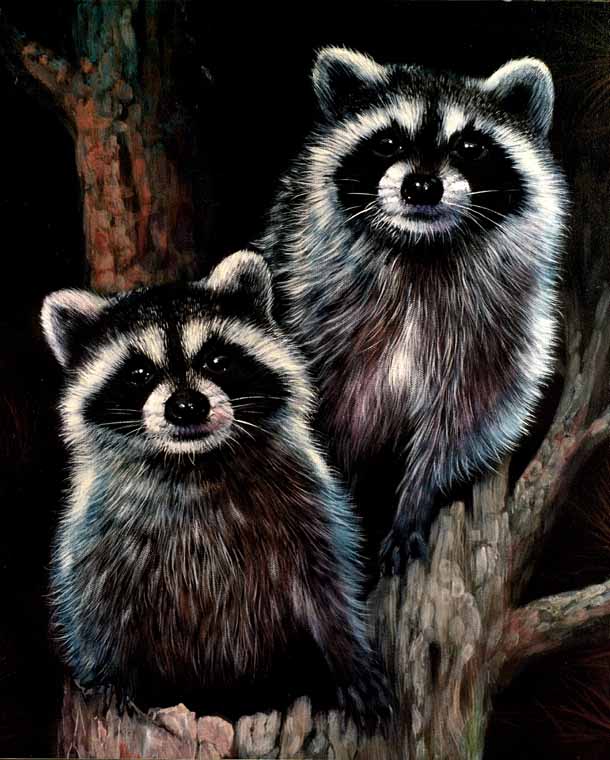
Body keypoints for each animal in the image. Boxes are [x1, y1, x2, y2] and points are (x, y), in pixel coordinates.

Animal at [41, 251, 387, 720]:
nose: (186, 406)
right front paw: (110, 680)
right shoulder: (98, 538)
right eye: (139, 372)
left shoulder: (307, 506)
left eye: (216, 361)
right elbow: (99, 612)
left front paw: (349, 659)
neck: (192, 464)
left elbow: (326, 589)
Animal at [261, 48, 568, 574]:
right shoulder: (309, 311)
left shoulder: (501, 335)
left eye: (469, 146)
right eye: (387, 142)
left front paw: (415, 501)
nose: (422, 186)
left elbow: (464, 426)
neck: (421, 250)